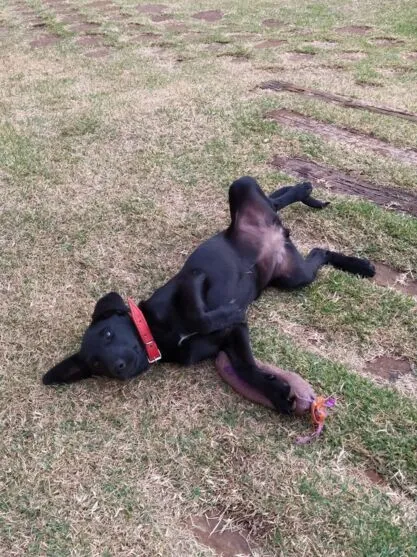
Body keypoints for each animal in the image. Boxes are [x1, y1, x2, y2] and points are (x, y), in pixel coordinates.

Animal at [43, 178, 374, 412]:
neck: (157, 333)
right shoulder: (228, 340)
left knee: (275, 199)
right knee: (319, 251)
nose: (117, 368)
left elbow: (200, 316)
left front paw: (230, 310)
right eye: (96, 364)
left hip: (241, 185)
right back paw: (357, 265)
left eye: (109, 334)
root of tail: (278, 236)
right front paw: (277, 393)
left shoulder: (194, 278)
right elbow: (246, 367)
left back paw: (304, 190)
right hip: (296, 277)